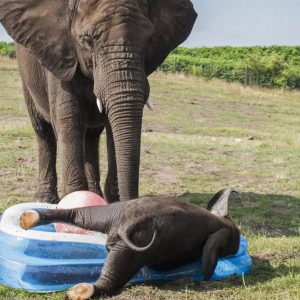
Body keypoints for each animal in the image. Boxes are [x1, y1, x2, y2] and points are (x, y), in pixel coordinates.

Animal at [0, 1, 198, 203]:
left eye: (149, 39)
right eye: (87, 40)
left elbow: (112, 127)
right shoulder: (60, 57)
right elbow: (69, 121)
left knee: (91, 136)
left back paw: (95, 194)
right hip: (26, 77)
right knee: (43, 132)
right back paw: (45, 200)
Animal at [19, 189, 239, 298]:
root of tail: (129, 223)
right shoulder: (223, 232)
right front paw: (206, 277)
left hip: (119, 222)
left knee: (84, 216)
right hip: (135, 234)